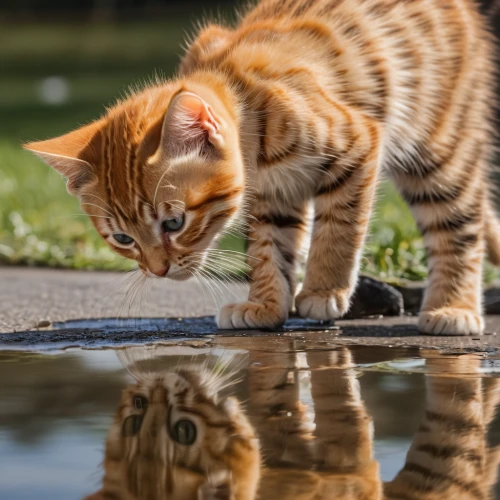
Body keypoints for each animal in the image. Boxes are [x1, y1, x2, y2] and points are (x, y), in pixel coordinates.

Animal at [26, 1, 500, 336]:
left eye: (174, 223)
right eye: (123, 239)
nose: (158, 271)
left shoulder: (359, 141)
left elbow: (339, 227)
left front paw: (323, 289)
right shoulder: (274, 195)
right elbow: (270, 247)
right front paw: (267, 305)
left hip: (439, 147)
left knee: (459, 223)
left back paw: (454, 308)